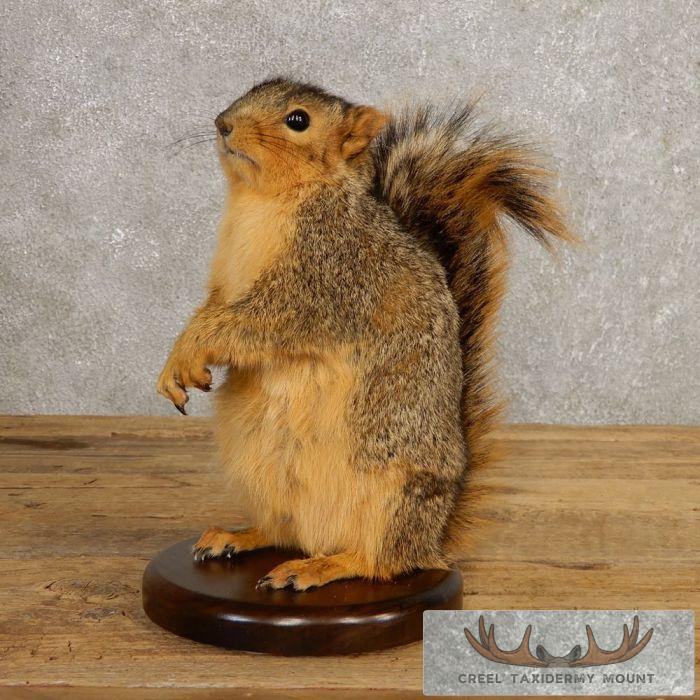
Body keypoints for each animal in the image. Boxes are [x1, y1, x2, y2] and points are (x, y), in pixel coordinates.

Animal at [156, 78, 574, 590]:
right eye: (251, 89)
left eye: (298, 120)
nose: (223, 124)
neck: (263, 201)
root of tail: (435, 539)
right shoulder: (224, 285)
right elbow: (212, 309)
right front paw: (176, 360)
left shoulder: (325, 282)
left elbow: (255, 323)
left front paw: (192, 348)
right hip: (263, 475)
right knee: (282, 531)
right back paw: (240, 536)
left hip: (390, 495)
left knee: (382, 561)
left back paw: (321, 566)